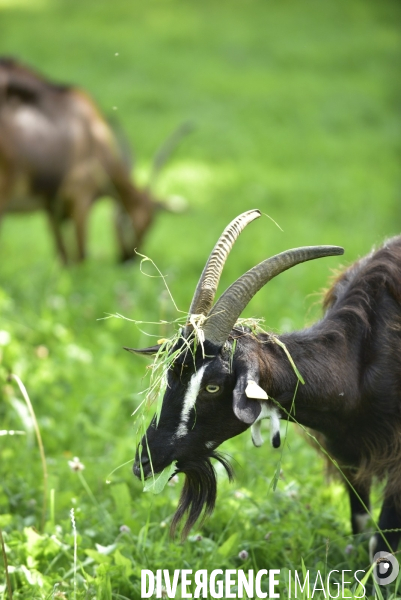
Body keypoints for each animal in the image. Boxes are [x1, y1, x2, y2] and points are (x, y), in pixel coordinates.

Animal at [0, 58, 178, 262]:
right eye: (144, 224)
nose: (127, 260)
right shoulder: (80, 200)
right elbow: (80, 257)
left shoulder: (53, 209)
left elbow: (63, 258)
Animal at [130, 211, 400, 556]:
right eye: (172, 374)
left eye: (213, 386)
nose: (145, 462)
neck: (355, 363)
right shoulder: (348, 455)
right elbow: (361, 524)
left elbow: (383, 543)